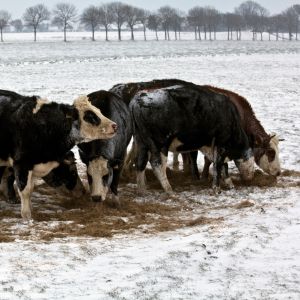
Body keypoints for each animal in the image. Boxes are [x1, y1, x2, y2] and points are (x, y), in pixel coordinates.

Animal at [0, 89, 117, 220]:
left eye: (99, 111)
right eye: (89, 115)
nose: (114, 125)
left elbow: (30, 190)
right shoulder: (22, 163)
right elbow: (25, 191)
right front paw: (27, 216)